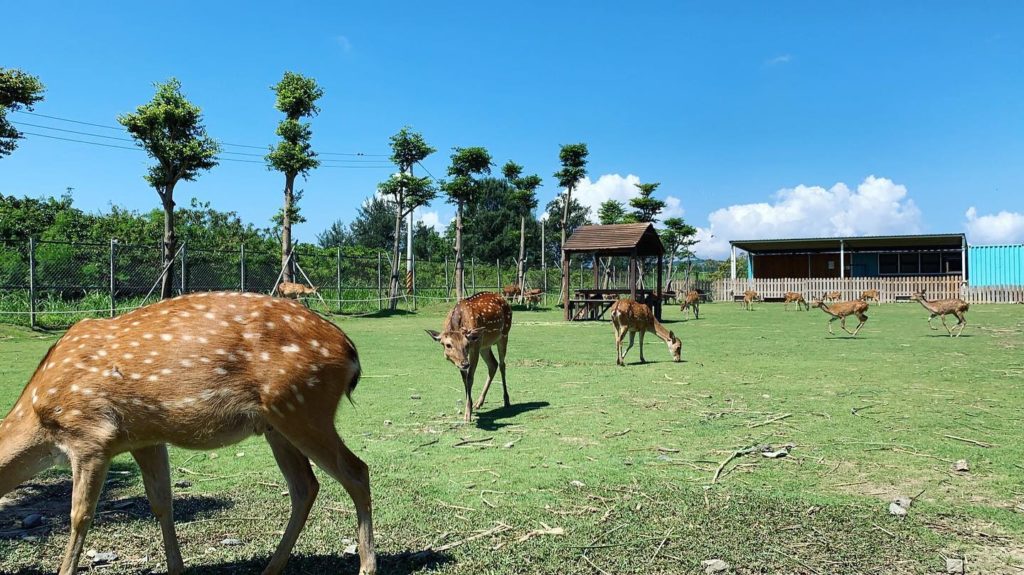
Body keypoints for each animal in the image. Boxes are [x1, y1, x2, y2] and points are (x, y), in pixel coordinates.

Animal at [0, 292, 376, 575]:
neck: (41, 418)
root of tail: (351, 352)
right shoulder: (144, 438)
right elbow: (161, 503)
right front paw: (176, 568)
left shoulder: (92, 435)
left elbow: (79, 515)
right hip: (278, 423)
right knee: (305, 486)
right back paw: (271, 567)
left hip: (303, 408)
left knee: (356, 471)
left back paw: (366, 566)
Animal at [427, 292, 512, 422]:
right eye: (448, 345)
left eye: (467, 344)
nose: (465, 364)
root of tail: (503, 298)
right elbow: (464, 379)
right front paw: (470, 406)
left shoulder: (475, 347)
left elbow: (470, 378)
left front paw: (467, 415)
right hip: (485, 345)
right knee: (493, 364)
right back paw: (478, 402)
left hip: (504, 334)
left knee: (502, 364)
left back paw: (506, 400)